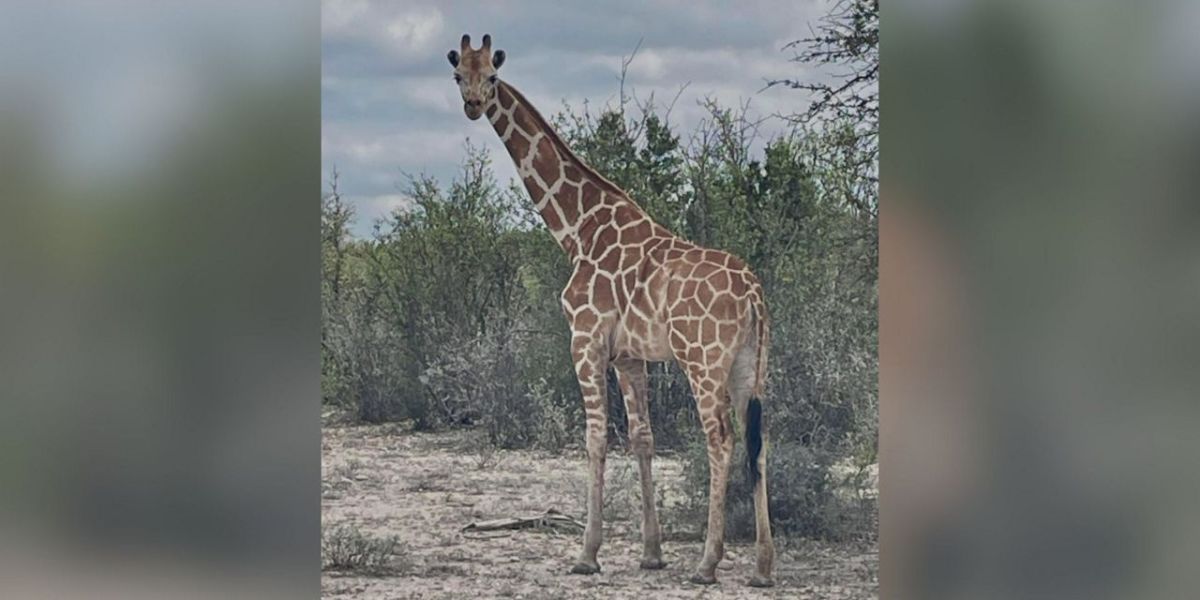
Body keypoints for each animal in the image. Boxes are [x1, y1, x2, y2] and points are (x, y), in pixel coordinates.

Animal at [448, 34, 775, 587]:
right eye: (458, 75)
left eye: (491, 75)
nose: (472, 105)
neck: (577, 228)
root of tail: (753, 293)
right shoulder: (629, 354)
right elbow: (642, 439)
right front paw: (651, 552)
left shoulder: (585, 339)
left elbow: (596, 438)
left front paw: (587, 553)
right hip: (751, 365)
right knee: (759, 439)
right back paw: (763, 567)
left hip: (703, 360)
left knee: (721, 439)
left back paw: (708, 563)